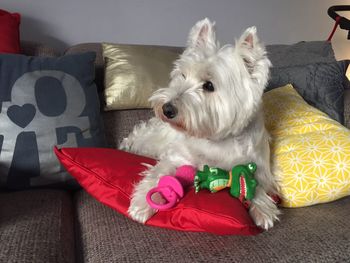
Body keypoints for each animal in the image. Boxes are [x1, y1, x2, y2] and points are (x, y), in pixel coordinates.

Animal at [121, 18, 280, 231]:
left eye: (209, 86)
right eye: (182, 75)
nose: (167, 109)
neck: (215, 140)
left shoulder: (259, 167)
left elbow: (260, 185)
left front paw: (263, 210)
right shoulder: (176, 158)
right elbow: (158, 174)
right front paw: (142, 203)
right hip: (150, 140)